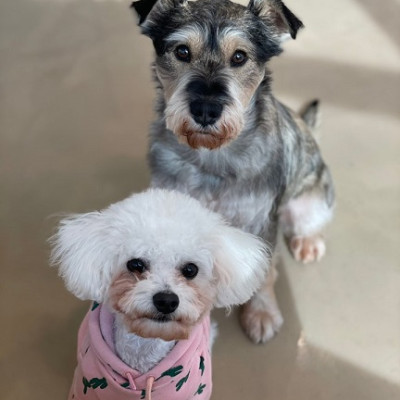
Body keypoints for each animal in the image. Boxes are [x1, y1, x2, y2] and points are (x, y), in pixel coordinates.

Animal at [131, 0, 335, 344]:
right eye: (182, 51)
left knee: (310, 223)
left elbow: (264, 272)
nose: (205, 110)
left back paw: (308, 242)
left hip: (310, 202)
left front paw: (261, 314)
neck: (212, 155)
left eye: (239, 57)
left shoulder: (261, 221)